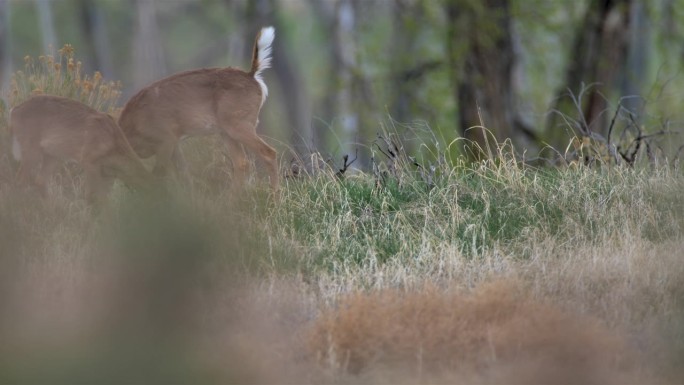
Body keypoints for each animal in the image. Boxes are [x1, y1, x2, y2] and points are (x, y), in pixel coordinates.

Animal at [10, 95, 154, 204]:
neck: (111, 141)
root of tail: (13, 111)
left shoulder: (107, 174)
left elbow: (103, 200)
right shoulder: (89, 161)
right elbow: (93, 197)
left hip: (52, 155)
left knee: (39, 181)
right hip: (31, 149)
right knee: (19, 181)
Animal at [119, 25, 278, 190]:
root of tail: (252, 76)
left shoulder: (166, 137)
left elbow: (159, 175)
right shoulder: (174, 142)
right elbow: (184, 175)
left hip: (239, 122)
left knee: (269, 153)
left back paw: (275, 196)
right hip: (226, 130)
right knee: (241, 163)